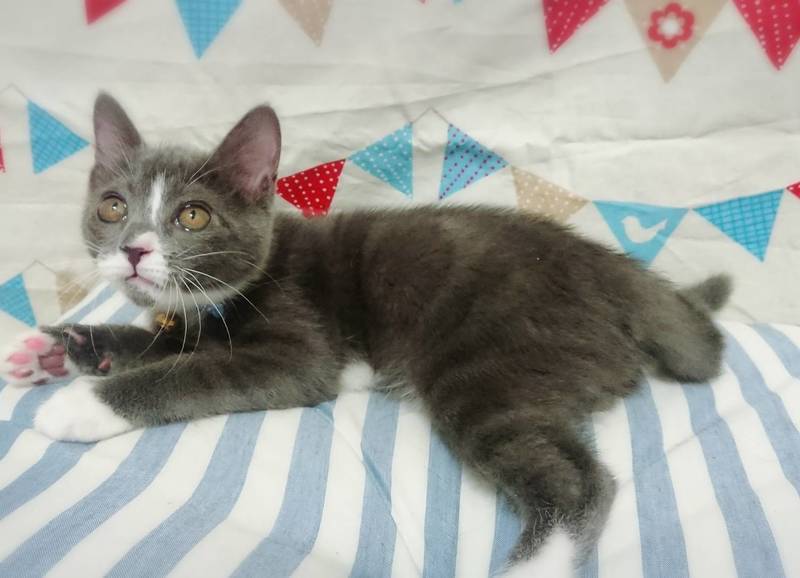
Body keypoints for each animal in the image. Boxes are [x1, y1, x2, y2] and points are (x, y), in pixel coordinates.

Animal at [1, 93, 731, 576]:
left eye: (193, 216)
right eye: (112, 208)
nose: (134, 250)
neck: (210, 305)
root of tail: (617, 272)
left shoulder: (301, 350)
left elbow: (191, 371)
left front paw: (80, 403)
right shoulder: (183, 322)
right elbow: (148, 341)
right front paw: (55, 350)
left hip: (492, 361)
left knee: (580, 485)